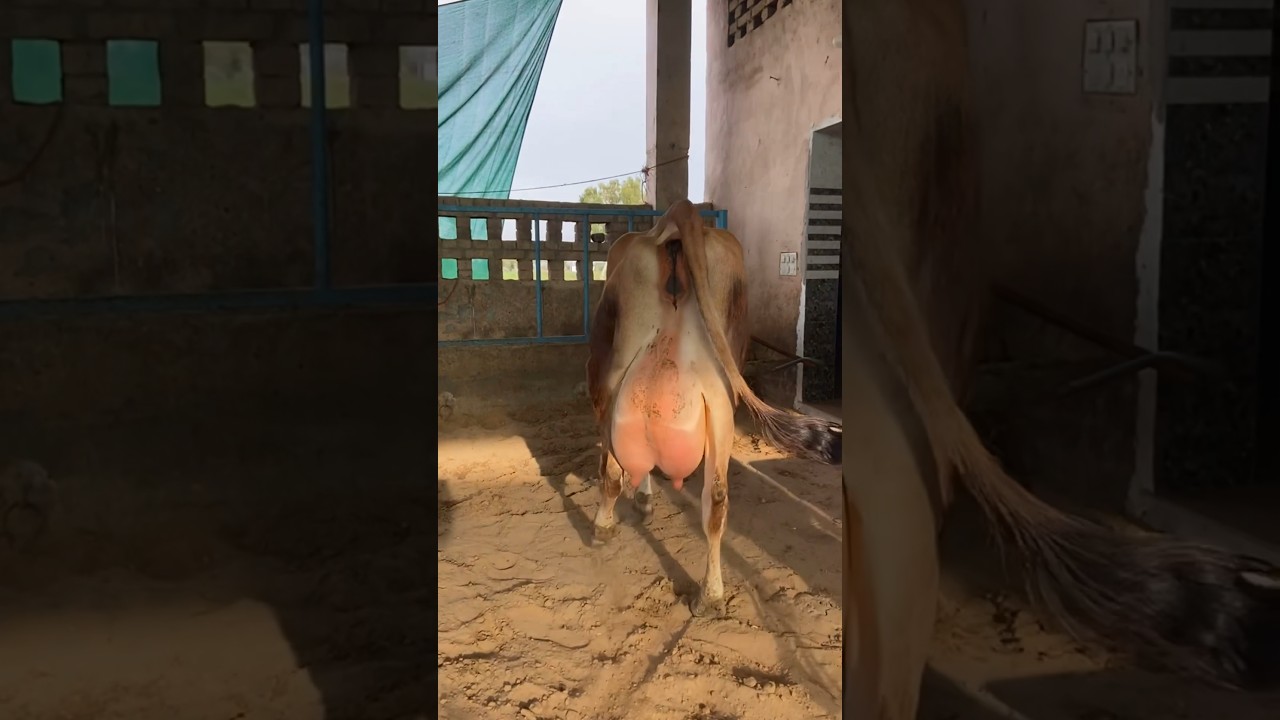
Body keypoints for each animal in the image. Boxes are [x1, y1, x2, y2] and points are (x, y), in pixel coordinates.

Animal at [585, 199, 842, 618]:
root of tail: (680, 214)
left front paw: (634, 505)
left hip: (611, 378)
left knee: (610, 469)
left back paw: (602, 527)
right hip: (721, 403)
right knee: (717, 499)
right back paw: (711, 595)